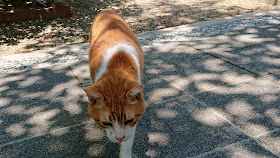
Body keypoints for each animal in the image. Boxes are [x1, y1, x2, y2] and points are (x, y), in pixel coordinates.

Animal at [83, 9, 147, 157]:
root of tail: (106, 10)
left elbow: (127, 142)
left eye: (129, 120)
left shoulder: (132, 125)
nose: (119, 138)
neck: (116, 66)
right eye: (105, 123)